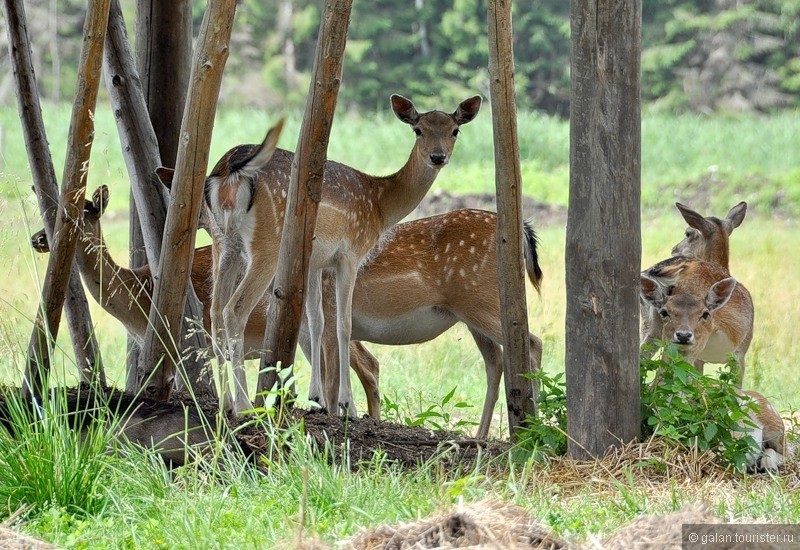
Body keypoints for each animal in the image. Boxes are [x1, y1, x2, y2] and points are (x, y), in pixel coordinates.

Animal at [34, 190, 540, 440]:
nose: (40, 238)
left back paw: (533, 422)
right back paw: (489, 431)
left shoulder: (189, 339)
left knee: (529, 343)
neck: (137, 296)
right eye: (51, 210)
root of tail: (523, 231)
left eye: (82, 212)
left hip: (482, 301)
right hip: (468, 315)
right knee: (493, 360)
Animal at [206, 95, 482, 418]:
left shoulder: (315, 261)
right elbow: (343, 324)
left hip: (223, 243)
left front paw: (317, 398)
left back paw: (224, 403)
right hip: (267, 244)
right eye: (418, 130)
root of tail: (229, 169)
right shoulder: (350, 253)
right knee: (233, 310)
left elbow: (316, 319)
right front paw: (346, 404)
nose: (438, 157)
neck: (379, 207)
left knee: (215, 311)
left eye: (454, 130)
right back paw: (244, 405)